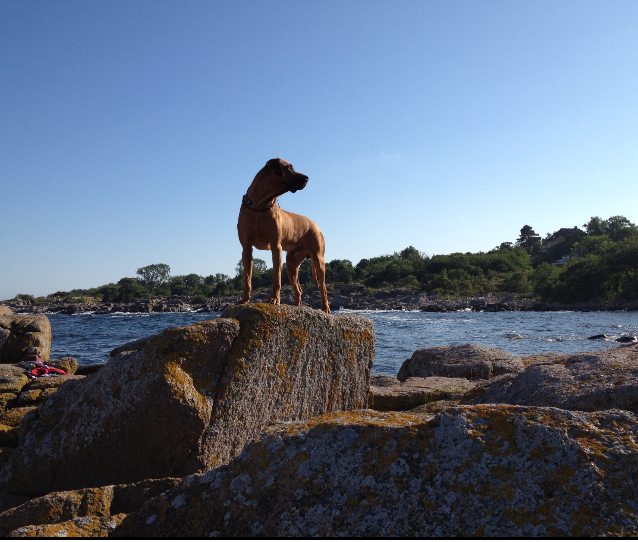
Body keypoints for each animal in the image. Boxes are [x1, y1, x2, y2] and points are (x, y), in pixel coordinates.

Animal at [238, 158, 332, 314]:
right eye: (289, 167)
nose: (307, 178)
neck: (260, 206)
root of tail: (316, 226)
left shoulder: (276, 246)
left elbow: (277, 278)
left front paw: (274, 300)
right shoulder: (246, 247)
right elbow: (247, 278)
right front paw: (244, 300)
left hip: (318, 259)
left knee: (323, 288)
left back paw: (325, 309)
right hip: (291, 264)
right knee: (298, 289)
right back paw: (296, 307)